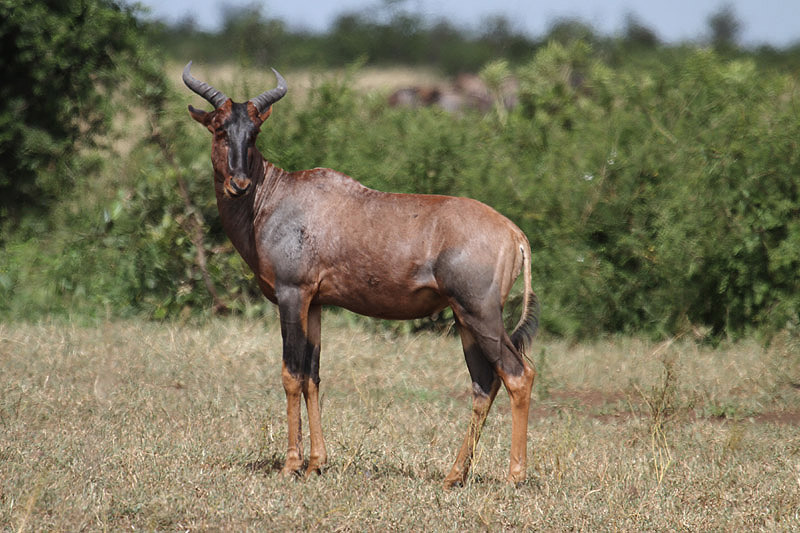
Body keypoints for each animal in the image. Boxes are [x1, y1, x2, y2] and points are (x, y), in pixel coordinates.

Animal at [184, 62, 540, 486]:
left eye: (254, 132)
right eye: (220, 127)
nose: (239, 184)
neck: (276, 197)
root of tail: (514, 233)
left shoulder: (291, 295)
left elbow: (291, 373)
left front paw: (291, 465)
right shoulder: (315, 303)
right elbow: (312, 375)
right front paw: (316, 463)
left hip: (480, 313)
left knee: (517, 374)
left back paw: (514, 475)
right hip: (464, 318)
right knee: (484, 383)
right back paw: (455, 475)